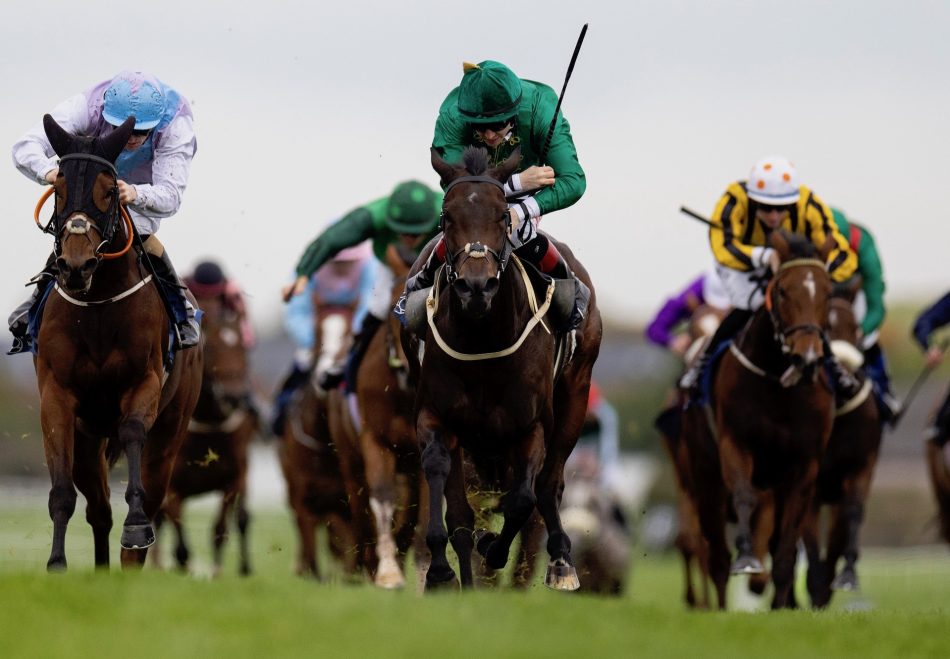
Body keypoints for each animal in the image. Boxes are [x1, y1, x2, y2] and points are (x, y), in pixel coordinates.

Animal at [33, 115, 201, 570]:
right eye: (58, 189)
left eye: (109, 191)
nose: (76, 266)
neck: (97, 307)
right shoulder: (57, 397)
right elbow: (61, 494)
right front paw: (56, 565)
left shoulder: (142, 383)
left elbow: (131, 433)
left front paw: (137, 528)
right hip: (89, 439)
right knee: (100, 509)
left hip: (171, 431)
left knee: (153, 496)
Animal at [156, 285, 257, 576]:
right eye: (213, 346)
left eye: (243, 346)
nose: (235, 397)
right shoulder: (173, 486)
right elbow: (179, 540)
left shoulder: (233, 480)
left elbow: (221, 529)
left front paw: (217, 572)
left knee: (243, 519)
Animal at [411, 146, 602, 591]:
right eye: (447, 216)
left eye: (502, 215)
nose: (476, 286)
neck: (484, 342)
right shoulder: (438, 416)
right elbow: (448, 496)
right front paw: (444, 571)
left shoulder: (529, 426)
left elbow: (522, 500)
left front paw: (493, 549)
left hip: (575, 394)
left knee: (548, 486)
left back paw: (561, 560)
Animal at [681, 230, 836, 609]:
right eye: (782, 291)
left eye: (828, 293)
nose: (807, 359)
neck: (777, 384)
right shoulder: (735, 446)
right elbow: (744, 497)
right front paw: (748, 559)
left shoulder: (804, 465)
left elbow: (786, 549)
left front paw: (780, 605)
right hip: (704, 477)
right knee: (715, 555)